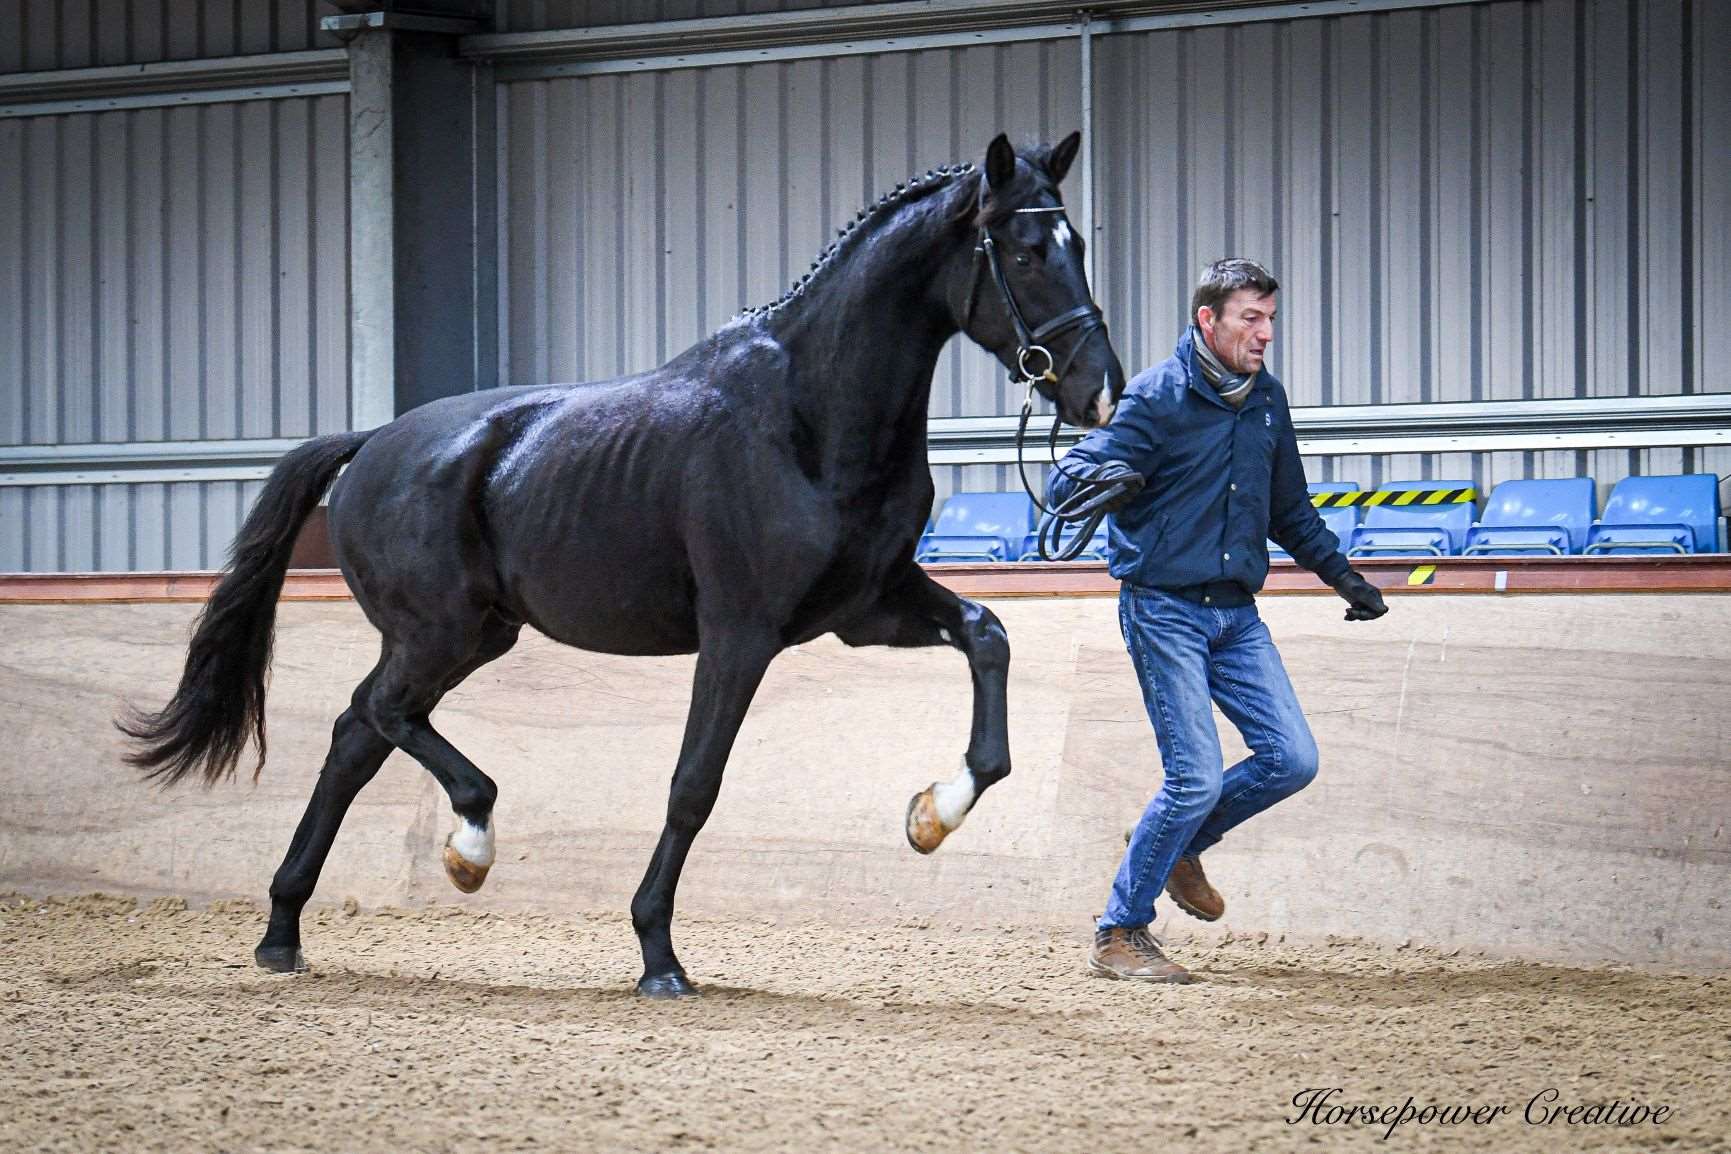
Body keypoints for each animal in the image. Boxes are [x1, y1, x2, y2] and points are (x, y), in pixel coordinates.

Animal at [122, 128, 1121, 996]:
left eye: (1075, 242)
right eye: (1023, 252)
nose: (1096, 390)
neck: (809, 414)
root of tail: (371, 444)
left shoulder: (866, 608)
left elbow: (987, 636)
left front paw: (931, 816)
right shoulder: (741, 633)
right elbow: (692, 785)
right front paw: (657, 956)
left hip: (470, 637)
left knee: (356, 735)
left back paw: (285, 932)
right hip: (440, 632)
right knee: (380, 717)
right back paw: (466, 846)